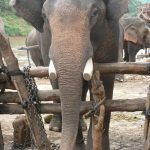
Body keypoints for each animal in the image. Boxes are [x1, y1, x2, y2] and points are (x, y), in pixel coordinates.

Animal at [10, 0, 127, 149]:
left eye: (95, 12)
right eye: (44, 15)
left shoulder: (112, 32)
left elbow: (106, 76)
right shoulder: (45, 40)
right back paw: (56, 127)